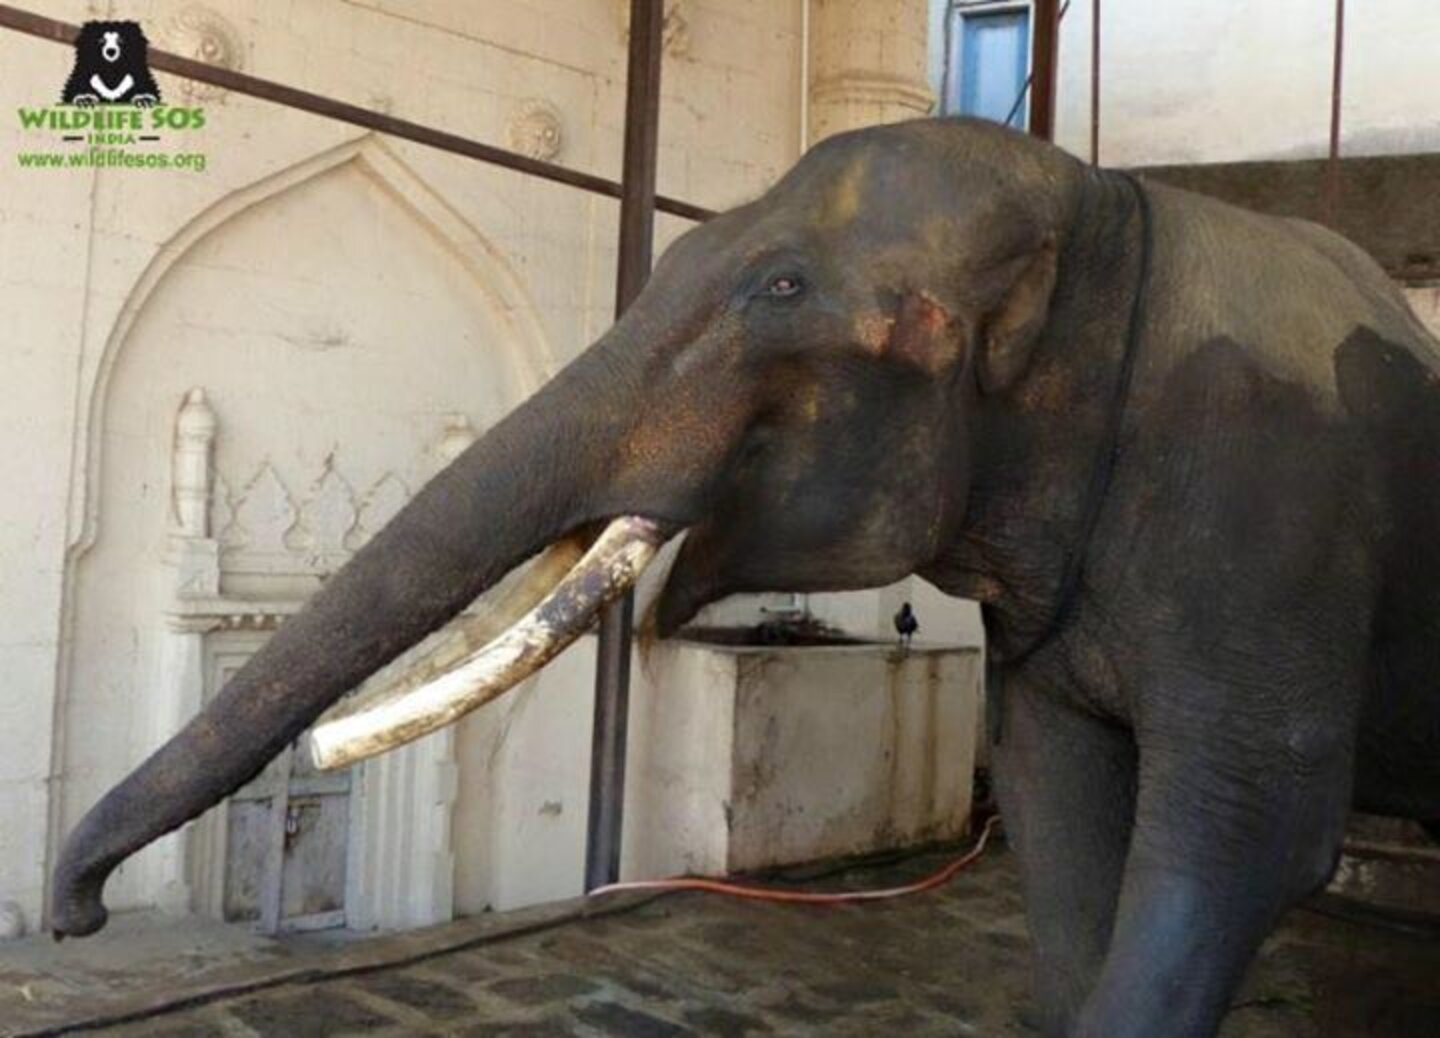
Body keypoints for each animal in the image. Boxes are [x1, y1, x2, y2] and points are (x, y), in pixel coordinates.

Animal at [51, 117, 1439, 1036]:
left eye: (781, 288)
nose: (76, 915)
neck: (1102, 206)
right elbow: (1056, 798)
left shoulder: (1274, 518)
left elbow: (1244, 841)